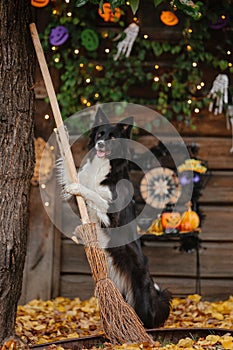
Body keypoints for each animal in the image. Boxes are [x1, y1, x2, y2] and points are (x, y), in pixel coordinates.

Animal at [60, 108, 170, 330]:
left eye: (113, 137)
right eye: (100, 135)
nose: (100, 144)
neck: (102, 166)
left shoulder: (112, 213)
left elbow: (92, 193)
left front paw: (79, 188)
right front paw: (63, 135)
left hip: (140, 292)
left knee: (146, 318)